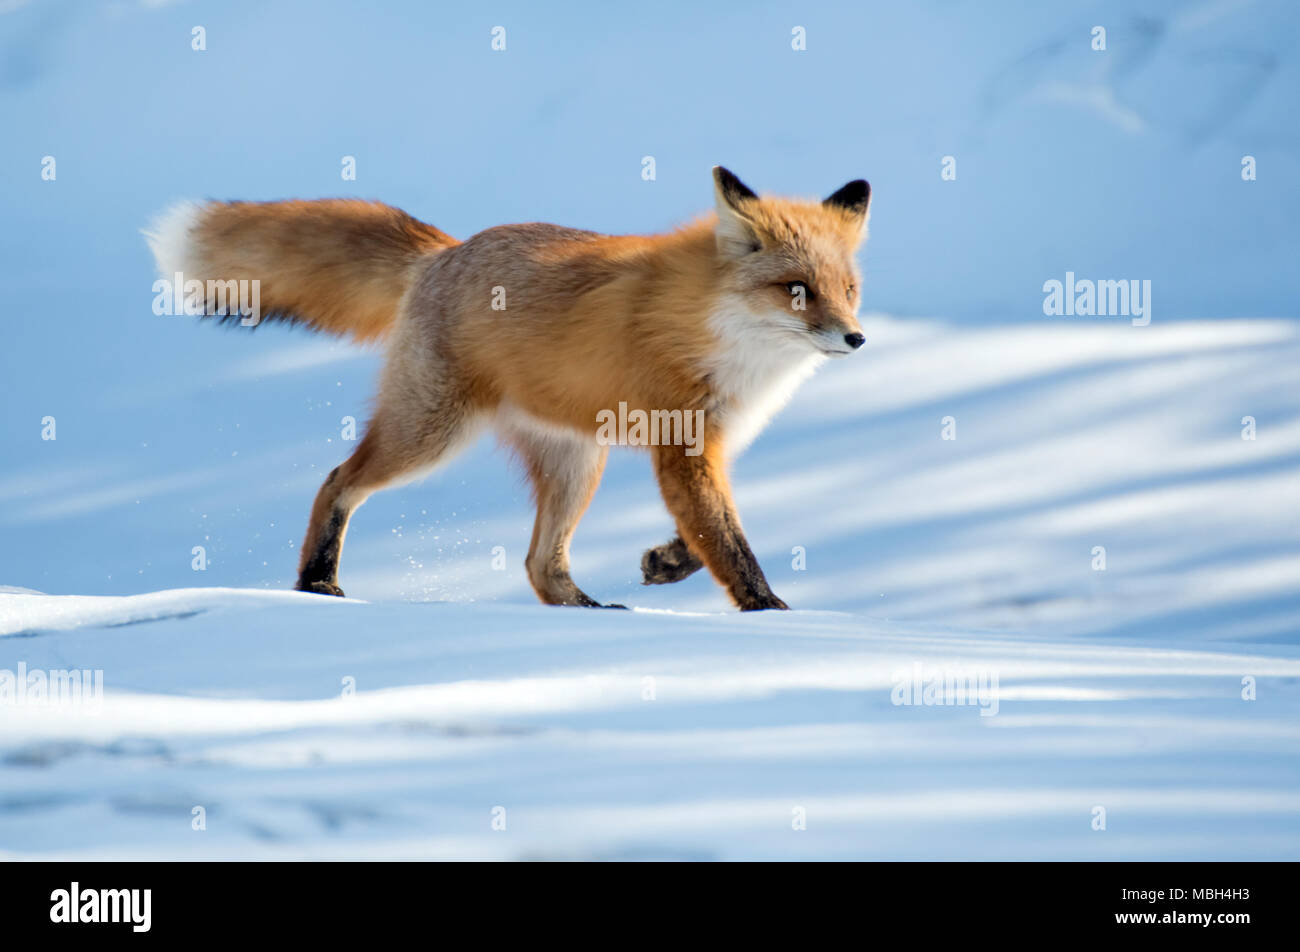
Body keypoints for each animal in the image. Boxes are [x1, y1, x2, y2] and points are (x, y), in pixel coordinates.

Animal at [144, 167, 873, 613]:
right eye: (797, 291)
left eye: (848, 290)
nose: (857, 339)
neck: (718, 330)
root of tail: (445, 251)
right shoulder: (684, 447)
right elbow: (728, 543)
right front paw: (771, 612)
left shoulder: (708, 446)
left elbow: (700, 538)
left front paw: (666, 563)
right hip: (431, 434)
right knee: (336, 481)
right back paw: (316, 581)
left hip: (577, 462)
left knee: (538, 565)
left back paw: (586, 609)